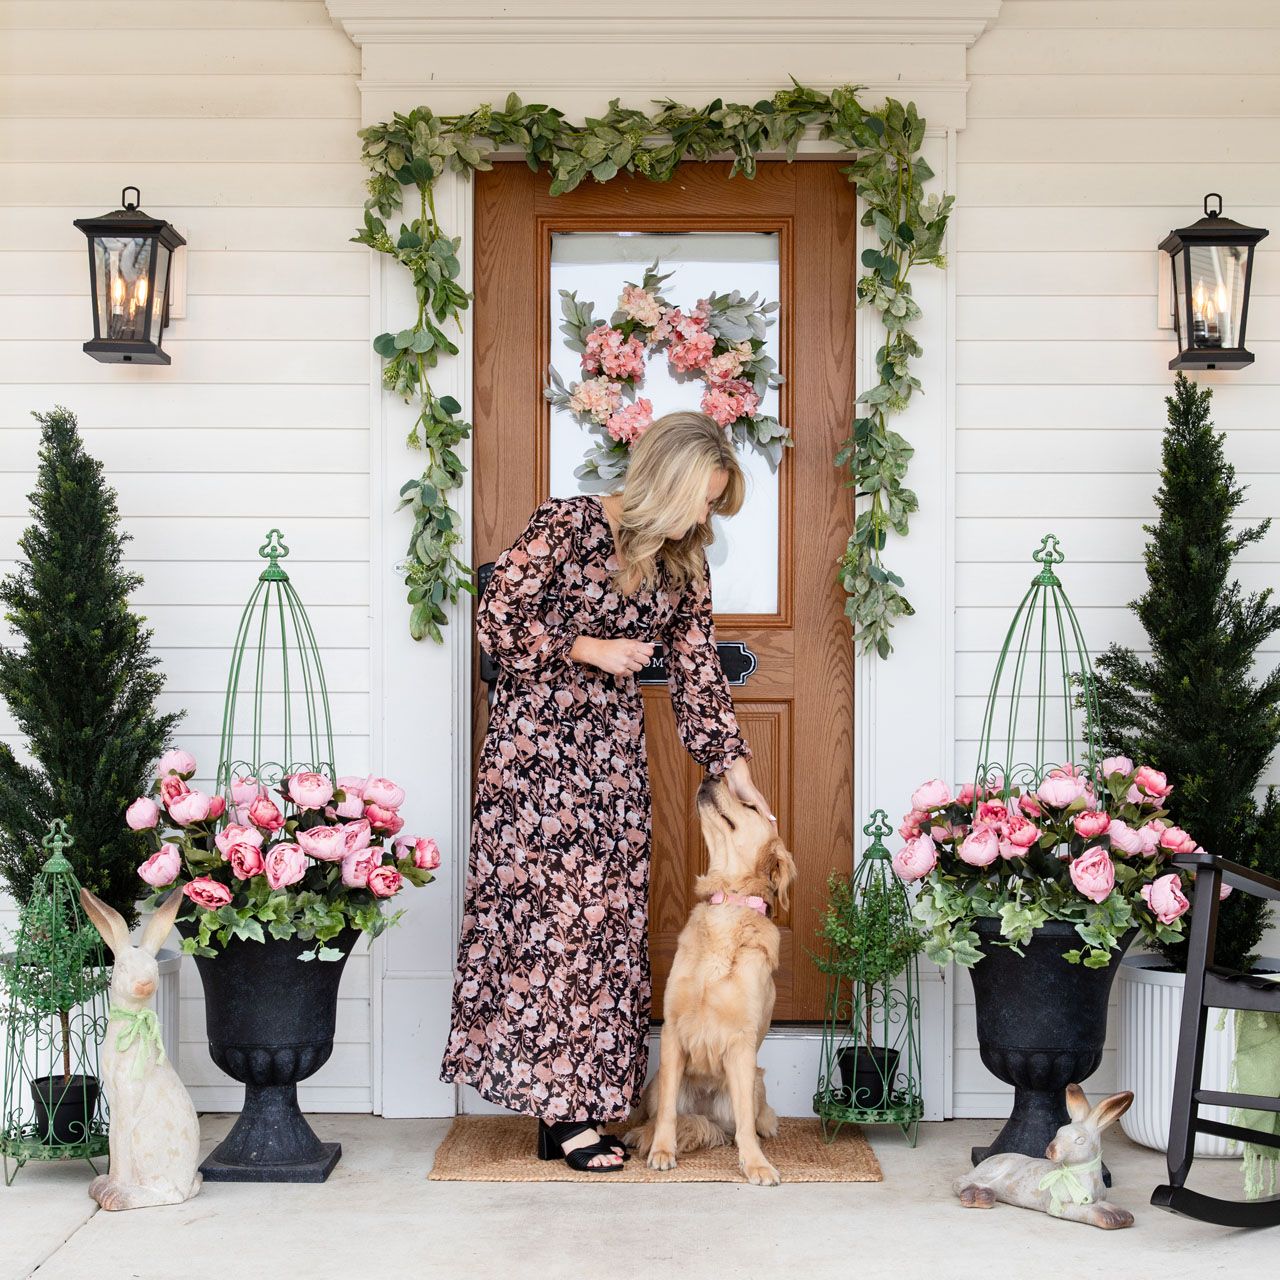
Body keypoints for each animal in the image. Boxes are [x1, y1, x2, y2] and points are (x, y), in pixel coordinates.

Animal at [622, 773, 793, 1182]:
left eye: (750, 806)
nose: (713, 775)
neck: (727, 909)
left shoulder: (742, 1043)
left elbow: (745, 1123)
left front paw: (756, 1164)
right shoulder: (671, 1030)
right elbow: (668, 1113)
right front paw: (662, 1150)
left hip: (756, 1080)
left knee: (753, 1120)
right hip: (657, 1082)